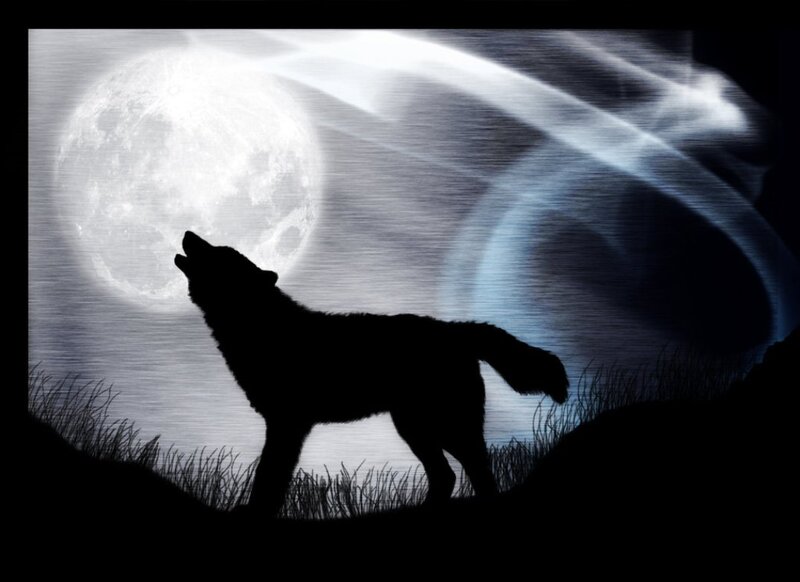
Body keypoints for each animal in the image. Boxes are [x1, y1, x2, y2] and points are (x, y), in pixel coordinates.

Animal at [175, 231, 568, 516]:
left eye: (219, 252)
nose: (188, 233)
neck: (260, 327)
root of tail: (456, 329)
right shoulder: (289, 425)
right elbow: (273, 475)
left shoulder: (287, 424)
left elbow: (269, 475)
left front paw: (257, 511)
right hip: (414, 428)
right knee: (447, 475)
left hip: (445, 427)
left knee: (479, 473)